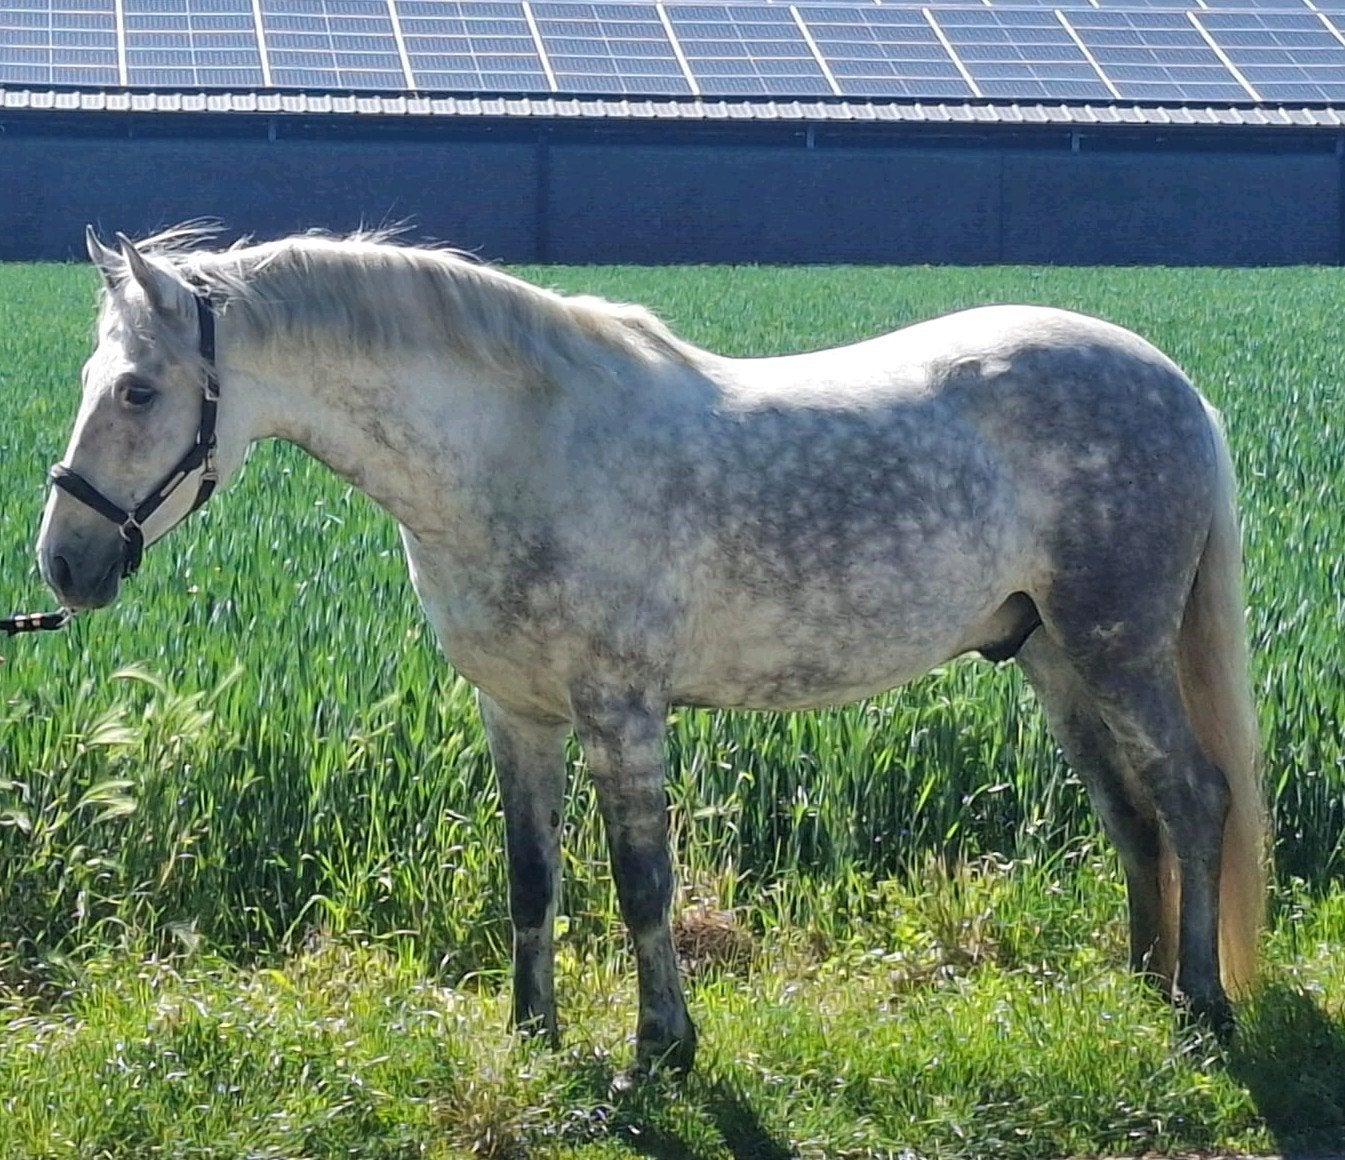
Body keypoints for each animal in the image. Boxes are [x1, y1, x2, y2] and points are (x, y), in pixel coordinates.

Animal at [36, 228, 1265, 1078]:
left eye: (138, 389)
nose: (64, 564)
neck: (518, 450)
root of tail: (1175, 385)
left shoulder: (621, 712)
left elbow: (640, 884)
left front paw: (661, 1049)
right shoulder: (517, 713)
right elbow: (531, 876)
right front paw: (532, 1032)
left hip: (1117, 650)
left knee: (1191, 794)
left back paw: (1200, 1002)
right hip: (1055, 661)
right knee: (1130, 811)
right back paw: (1140, 979)